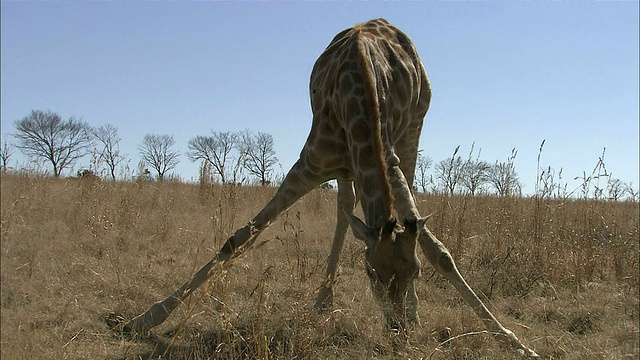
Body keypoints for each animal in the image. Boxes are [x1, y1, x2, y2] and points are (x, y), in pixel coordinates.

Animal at [120, 18, 536, 356]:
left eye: (415, 272)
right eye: (370, 273)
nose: (397, 331)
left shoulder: (389, 159)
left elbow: (438, 250)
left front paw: (513, 341)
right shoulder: (310, 163)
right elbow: (240, 237)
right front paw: (144, 319)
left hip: (413, 130)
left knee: (377, 210)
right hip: (348, 167)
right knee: (344, 210)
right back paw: (323, 299)